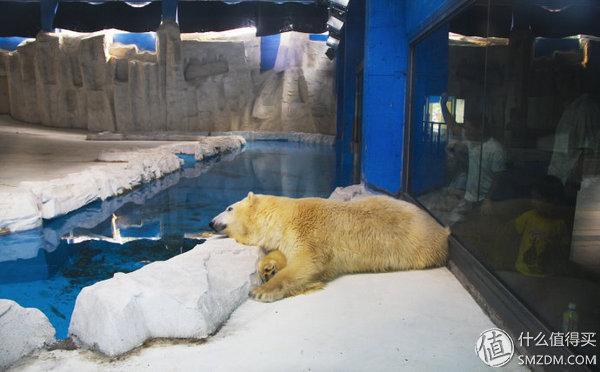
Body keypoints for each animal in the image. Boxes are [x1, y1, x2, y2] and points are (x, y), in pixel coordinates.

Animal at [211, 192, 450, 302]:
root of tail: (443, 229)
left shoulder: (311, 232)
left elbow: (308, 262)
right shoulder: (287, 236)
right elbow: (285, 253)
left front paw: (261, 291)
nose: (211, 222)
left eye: (229, 208)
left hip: (419, 245)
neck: (285, 217)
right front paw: (267, 268)